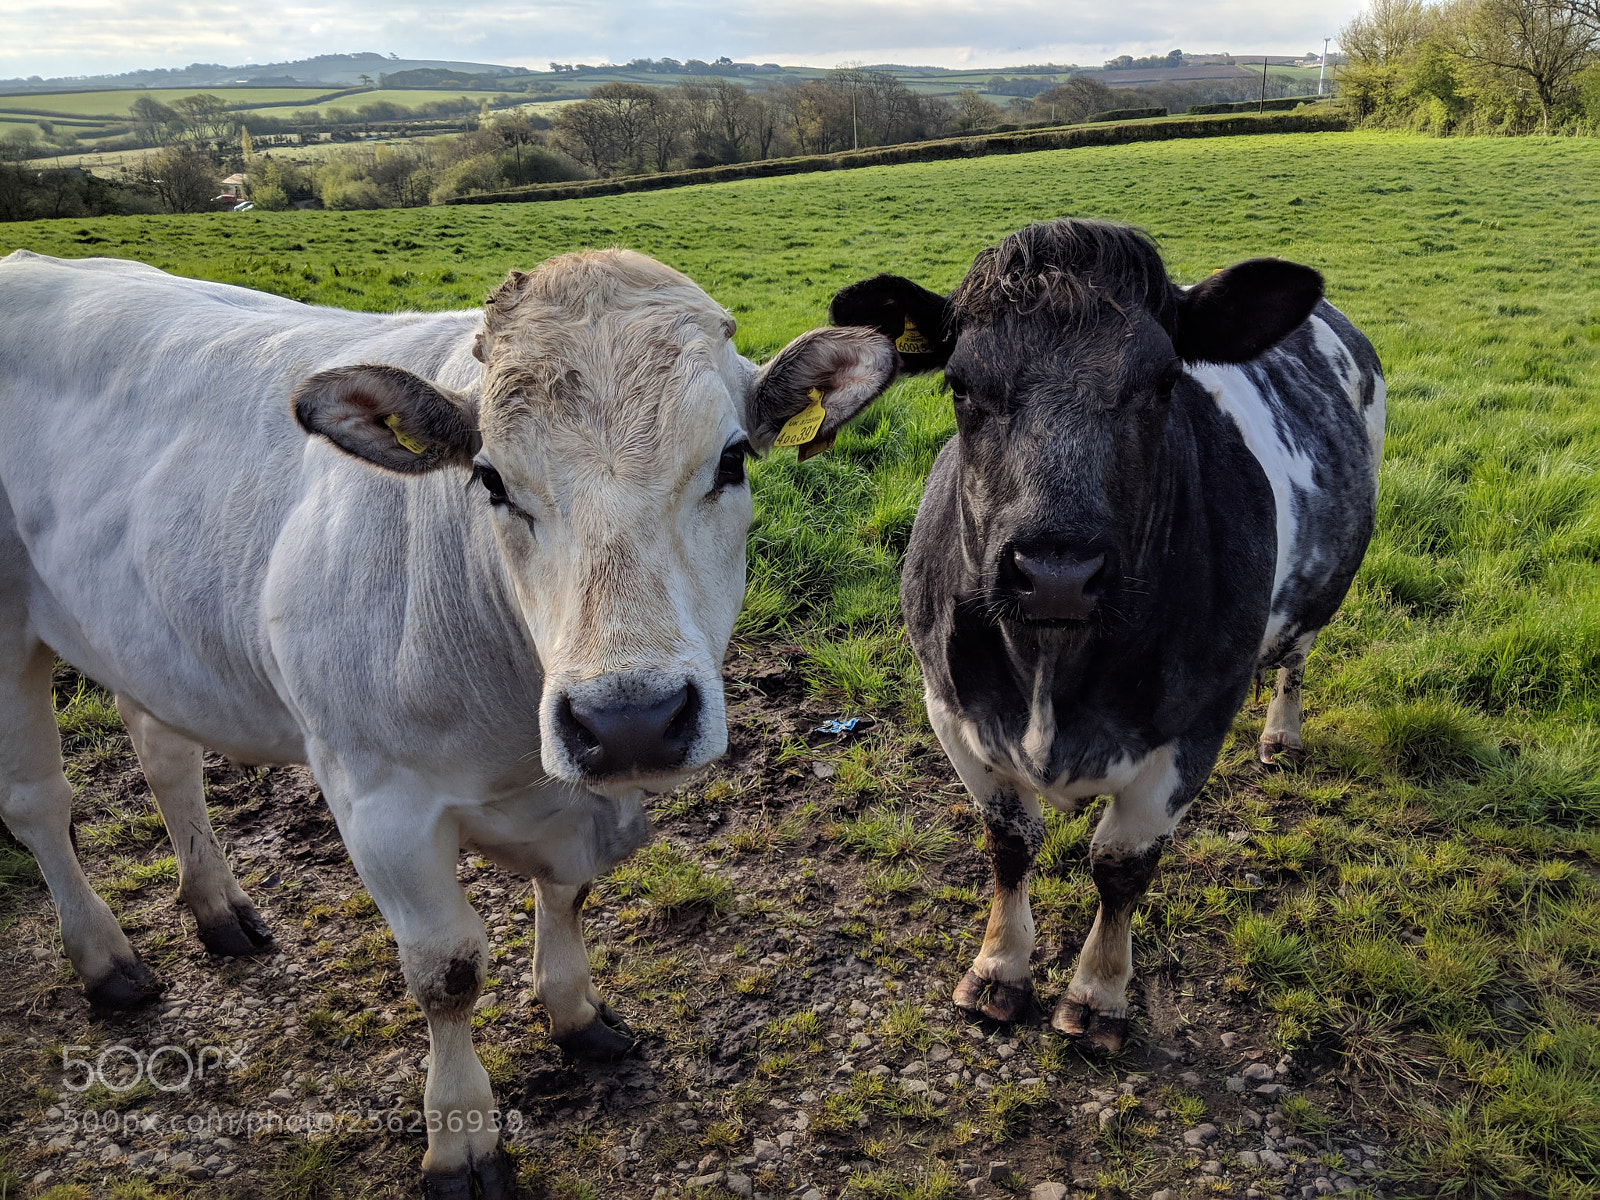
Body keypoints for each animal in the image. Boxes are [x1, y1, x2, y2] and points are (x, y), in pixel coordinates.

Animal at [0, 247, 895, 1197]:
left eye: (732, 459)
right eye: (490, 479)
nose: (630, 720)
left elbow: (569, 896)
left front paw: (575, 1011)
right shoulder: (379, 804)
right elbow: (447, 972)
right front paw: (462, 1137)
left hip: (147, 632)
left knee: (164, 752)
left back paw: (217, 907)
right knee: (38, 803)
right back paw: (105, 959)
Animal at [830, 218, 1384, 1052]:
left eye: (1164, 383)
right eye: (960, 386)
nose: (1056, 571)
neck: (1050, 677)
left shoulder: (1195, 727)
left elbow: (1121, 865)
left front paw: (1097, 996)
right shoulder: (950, 709)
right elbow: (1009, 844)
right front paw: (998, 969)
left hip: (1320, 598)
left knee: (1294, 658)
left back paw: (1281, 734)